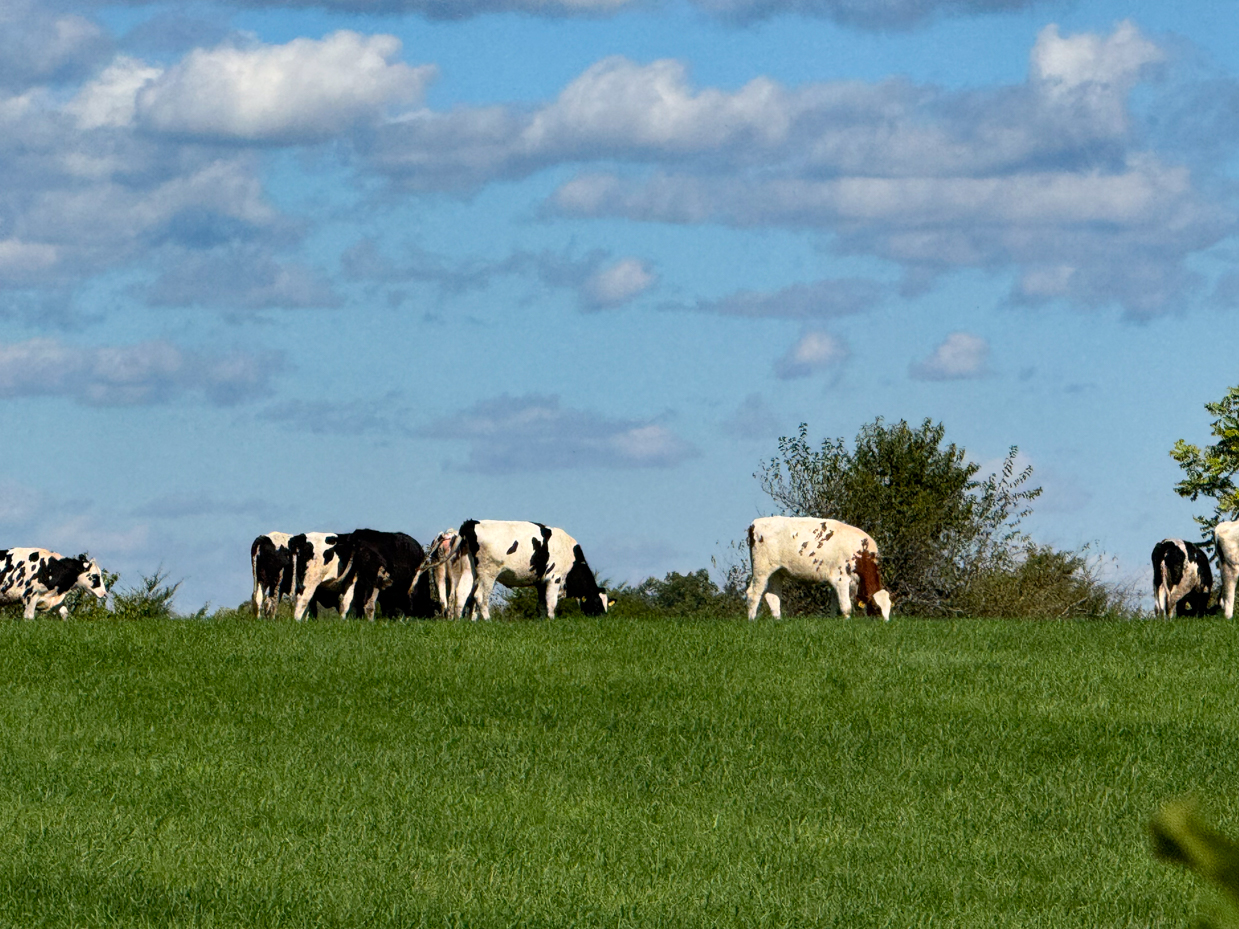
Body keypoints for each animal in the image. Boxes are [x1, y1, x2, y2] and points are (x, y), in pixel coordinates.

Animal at [453, 520, 612, 621]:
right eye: (597, 603)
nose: (602, 619)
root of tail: (473, 522)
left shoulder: (541, 583)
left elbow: (541, 605)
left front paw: (542, 621)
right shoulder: (554, 578)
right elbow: (551, 603)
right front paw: (551, 620)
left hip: (469, 571)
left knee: (463, 594)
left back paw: (466, 621)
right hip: (488, 572)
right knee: (480, 596)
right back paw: (487, 620)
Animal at [743, 520, 892, 621]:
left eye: (890, 606)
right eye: (877, 607)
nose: (885, 623)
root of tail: (756, 523)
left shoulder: (837, 582)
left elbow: (835, 605)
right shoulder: (841, 579)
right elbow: (846, 607)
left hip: (776, 572)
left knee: (773, 596)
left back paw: (778, 620)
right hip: (761, 569)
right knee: (754, 593)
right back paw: (751, 620)